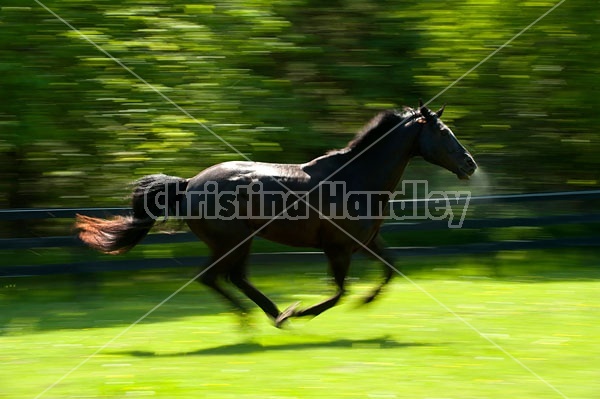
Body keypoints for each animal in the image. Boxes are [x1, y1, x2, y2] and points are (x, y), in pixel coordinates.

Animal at [76, 103, 478, 328]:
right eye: (444, 132)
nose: (470, 164)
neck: (356, 177)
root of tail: (190, 184)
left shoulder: (367, 241)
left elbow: (391, 269)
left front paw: (367, 302)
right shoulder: (338, 248)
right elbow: (339, 292)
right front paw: (305, 312)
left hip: (239, 241)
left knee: (229, 278)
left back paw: (270, 315)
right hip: (233, 240)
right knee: (217, 278)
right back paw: (269, 317)